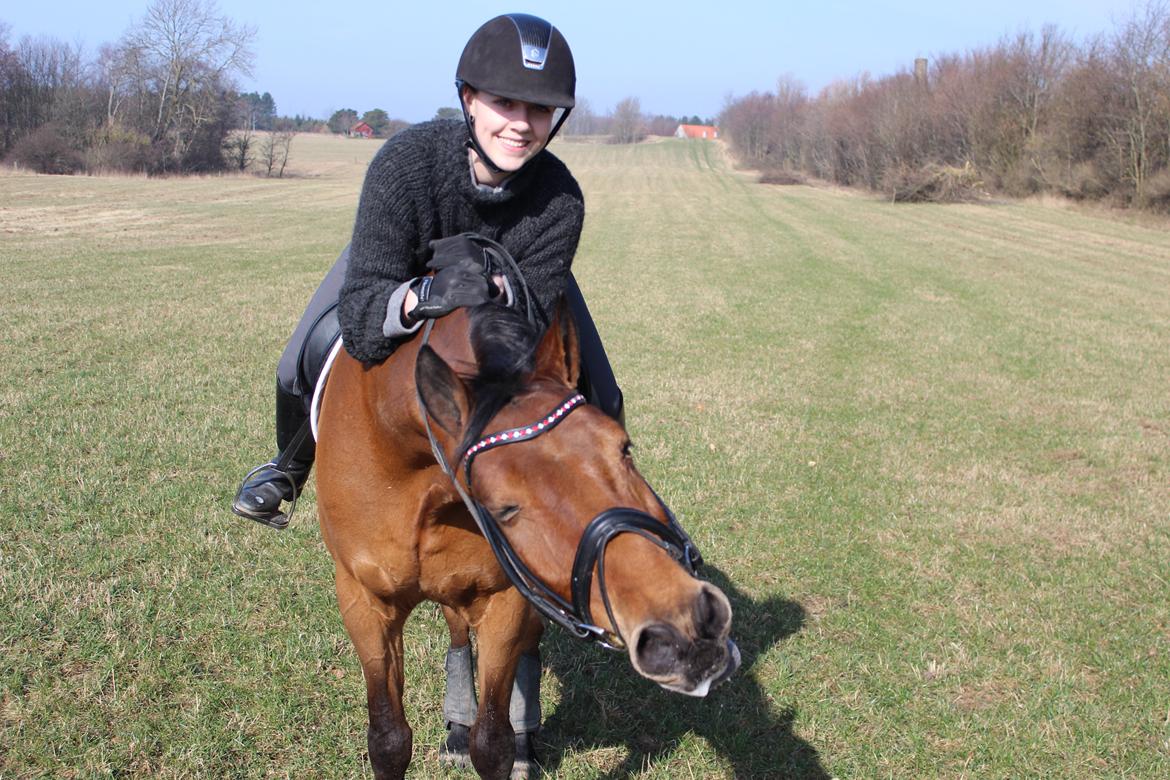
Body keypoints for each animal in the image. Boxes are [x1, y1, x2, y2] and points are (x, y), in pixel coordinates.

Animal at [315, 298, 739, 780]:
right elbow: (388, 740)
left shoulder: (506, 598)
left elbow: (492, 741)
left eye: (624, 448)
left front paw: (509, 744)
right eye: (502, 507)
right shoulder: (363, 601)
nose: (689, 630)